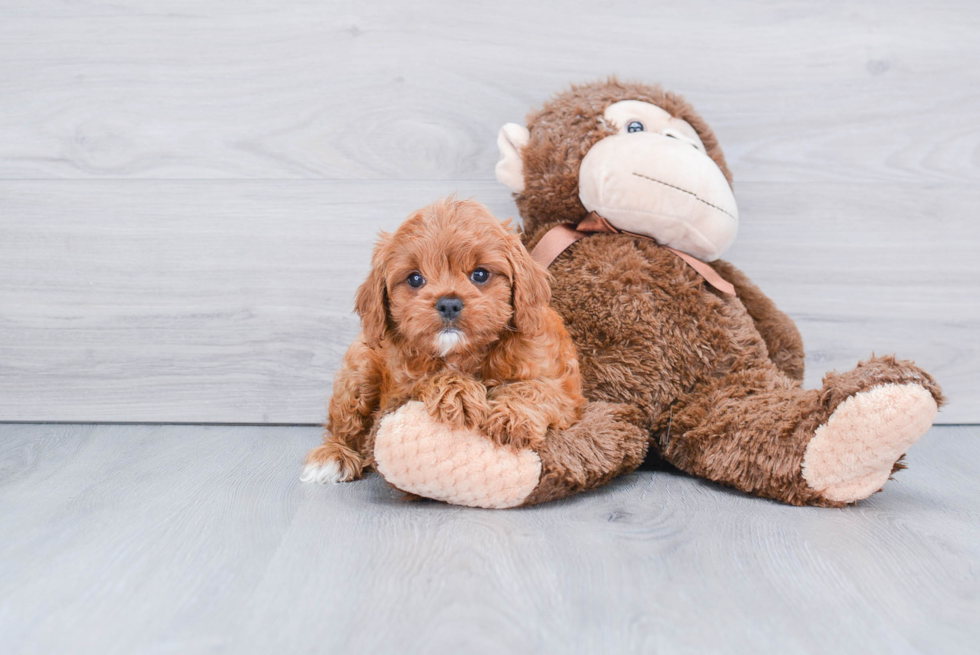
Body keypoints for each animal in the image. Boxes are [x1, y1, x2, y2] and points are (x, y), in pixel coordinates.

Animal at [302, 197, 584, 484]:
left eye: (480, 274)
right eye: (415, 278)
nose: (449, 303)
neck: (463, 353)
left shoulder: (563, 390)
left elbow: (536, 389)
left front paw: (511, 418)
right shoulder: (398, 394)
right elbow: (430, 379)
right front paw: (458, 393)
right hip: (359, 371)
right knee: (343, 425)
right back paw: (333, 455)